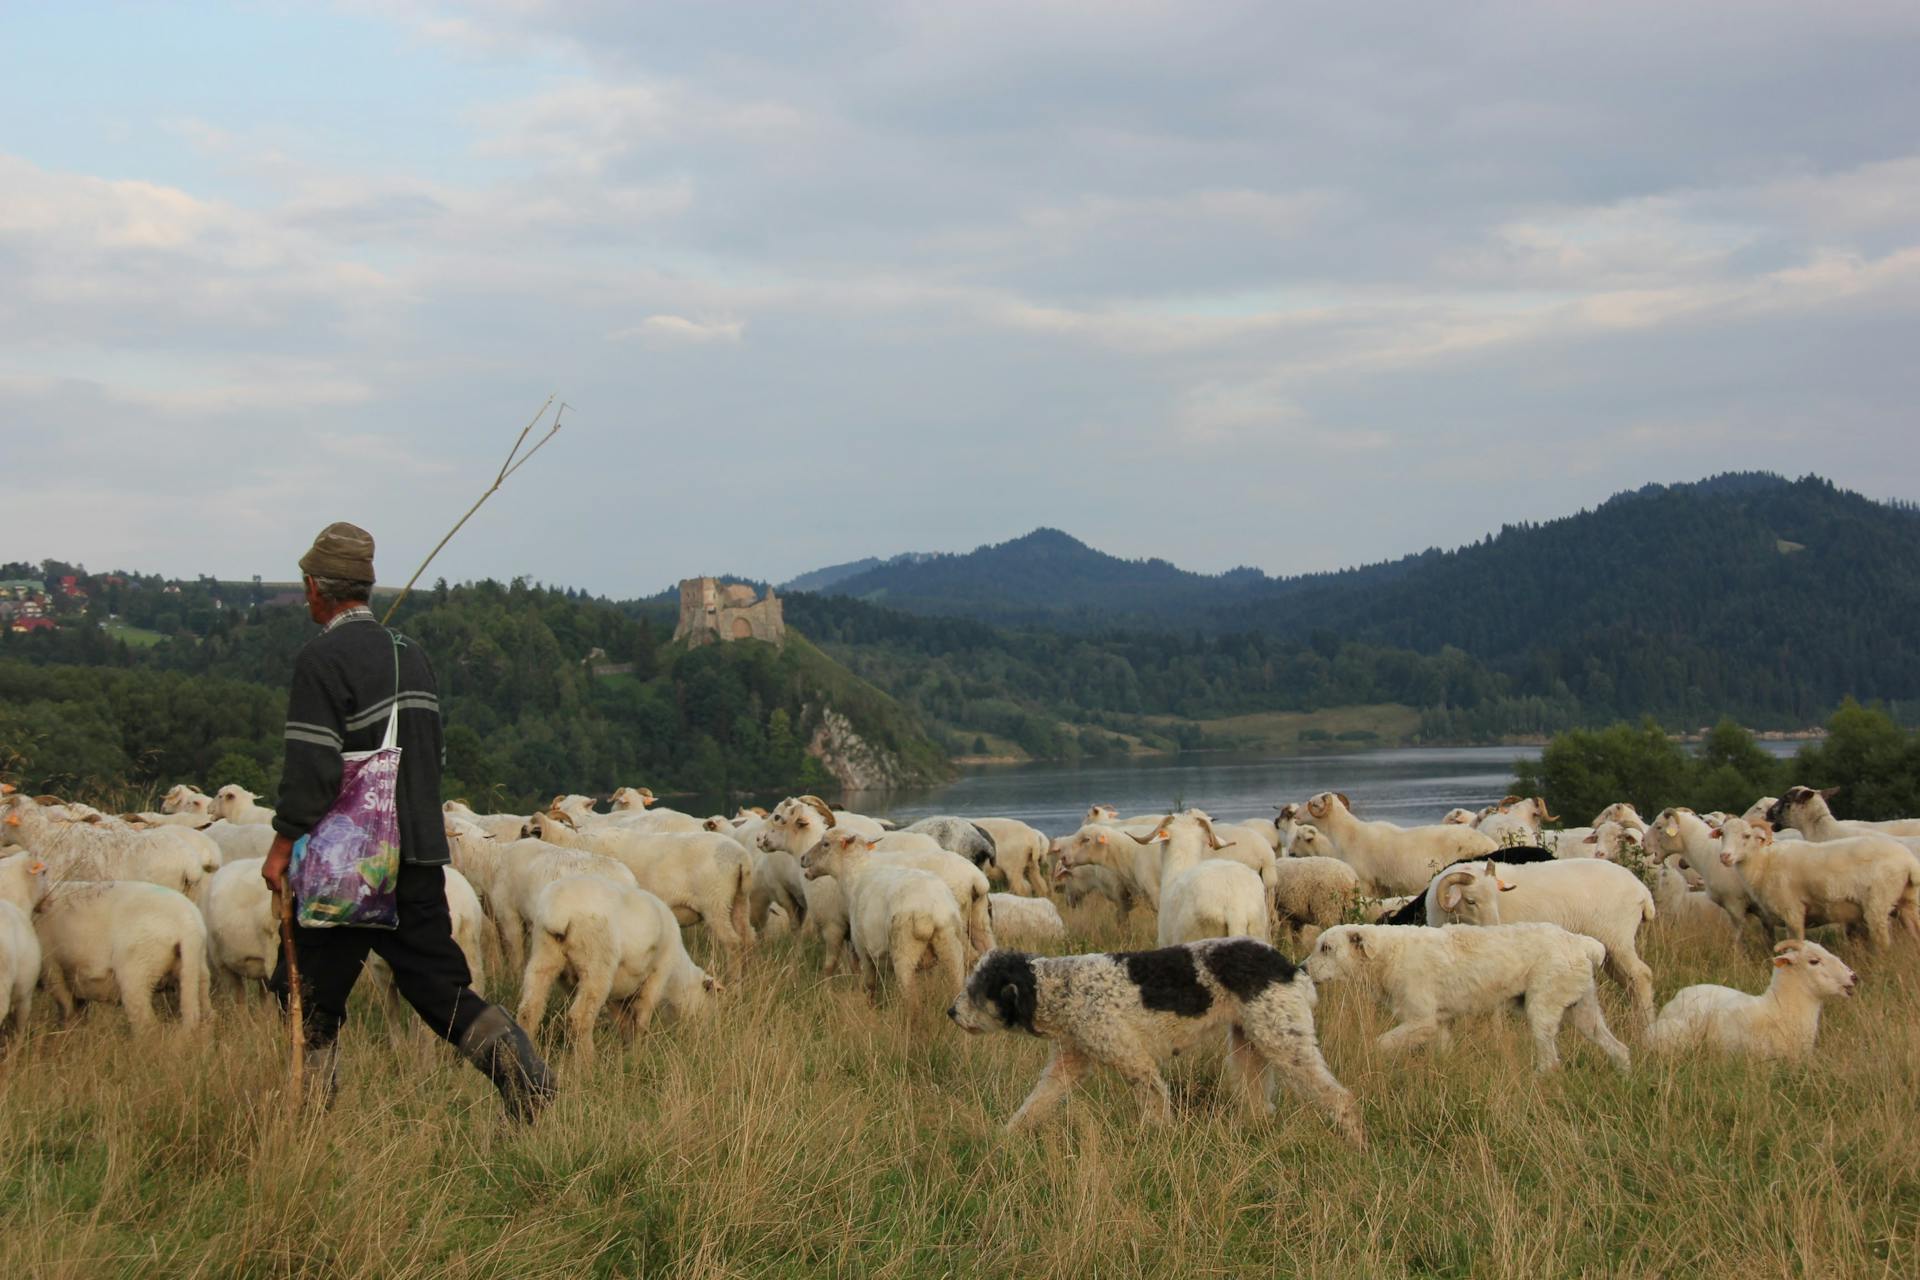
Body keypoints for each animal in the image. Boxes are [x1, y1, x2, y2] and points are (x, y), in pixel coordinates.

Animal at [514, 871, 718, 1059]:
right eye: (708, 1002)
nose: (704, 1037)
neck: (677, 976)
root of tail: (558, 911)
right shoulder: (658, 975)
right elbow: (642, 1018)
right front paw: (638, 1052)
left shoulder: (618, 990)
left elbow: (623, 1021)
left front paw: (626, 1049)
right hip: (596, 961)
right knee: (579, 1017)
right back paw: (588, 1061)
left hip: (544, 953)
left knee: (529, 1010)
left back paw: (529, 1049)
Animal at [948, 940, 1367, 1143]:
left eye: (975, 991)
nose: (951, 1012)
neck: (1061, 988)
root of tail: (1290, 968)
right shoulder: (1069, 1063)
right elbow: (1032, 1107)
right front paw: (1003, 1140)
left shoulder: (1135, 1062)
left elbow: (1155, 1107)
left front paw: (1156, 1142)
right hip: (1249, 1048)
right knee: (1260, 1109)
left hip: (1284, 1043)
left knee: (1342, 1098)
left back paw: (1356, 1143)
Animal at [1297, 921, 1628, 1074]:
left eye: (1326, 948)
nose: (1301, 968)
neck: (1388, 955)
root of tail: (1581, 943)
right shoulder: (1441, 1024)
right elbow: (1443, 1052)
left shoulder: (1422, 1022)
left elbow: (1381, 1043)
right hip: (1583, 1012)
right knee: (1620, 1049)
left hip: (1543, 1011)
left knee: (1551, 1061)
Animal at [1712, 821, 1920, 951]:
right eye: (1722, 835)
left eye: (1746, 836)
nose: (1724, 857)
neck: (1764, 862)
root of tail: (1909, 860)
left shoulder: (1793, 911)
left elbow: (1795, 943)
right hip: (1908, 902)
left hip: (1878, 904)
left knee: (1883, 942)